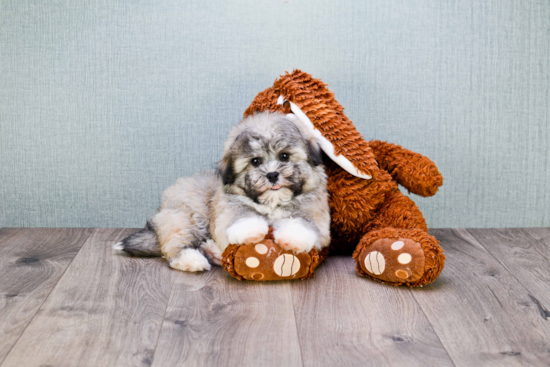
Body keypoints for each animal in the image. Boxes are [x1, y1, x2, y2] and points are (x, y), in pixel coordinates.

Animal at [115, 112, 332, 274]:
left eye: (285, 156)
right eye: (255, 162)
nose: (272, 174)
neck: (272, 203)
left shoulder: (316, 213)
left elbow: (304, 221)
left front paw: (292, 238)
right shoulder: (229, 207)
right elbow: (241, 216)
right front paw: (251, 231)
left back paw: (211, 251)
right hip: (185, 218)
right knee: (175, 245)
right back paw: (191, 259)